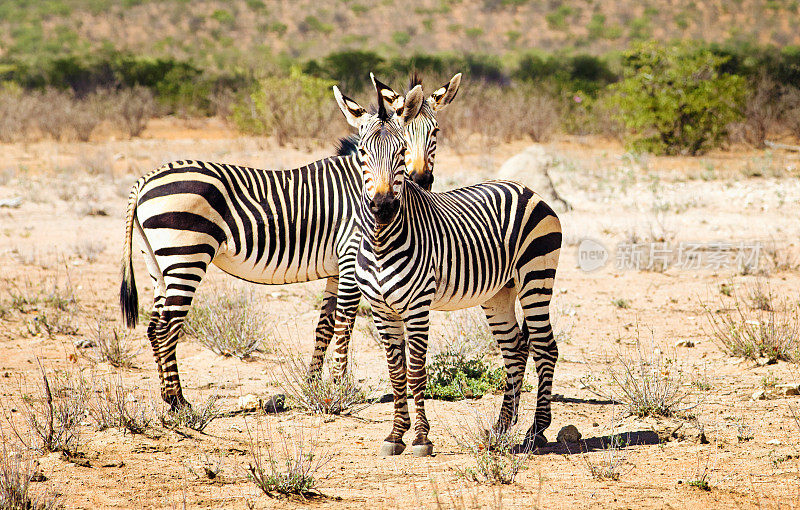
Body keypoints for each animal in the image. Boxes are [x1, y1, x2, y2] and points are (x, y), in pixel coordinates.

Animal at [115, 73, 460, 408]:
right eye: (366, 151)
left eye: (434, 132)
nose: (421, 180)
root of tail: (145, 179)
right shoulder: (352, 261)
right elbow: (344, 324)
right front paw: (339, 390)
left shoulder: (337, 268)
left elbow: (324, 324)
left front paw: (313, 385)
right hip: (186, 255)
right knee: (166, 328)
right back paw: (178, 403)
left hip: (158, 262)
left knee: (154, 327)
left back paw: (170, 397)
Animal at [332, 81, 564, 456]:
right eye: (363, 154)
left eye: (400, 152)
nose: (383, 208)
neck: (382, 240)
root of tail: (525, 187)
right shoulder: (382, 310)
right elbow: (396, 372)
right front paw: (395, 435)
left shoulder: (417, 308)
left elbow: (416, 372)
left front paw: (421, 438)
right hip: (499, 293)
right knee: (515, 349)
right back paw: (501, 428)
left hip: (536, 279)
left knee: (546, 348)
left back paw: (536, 432)